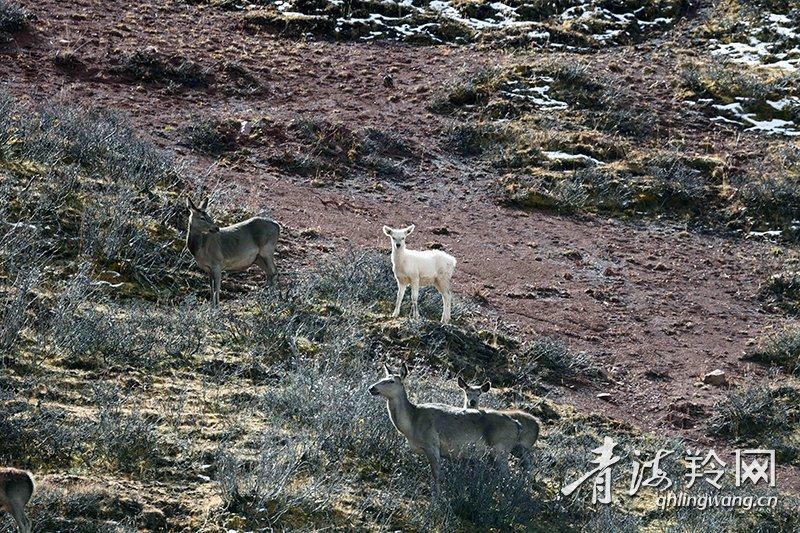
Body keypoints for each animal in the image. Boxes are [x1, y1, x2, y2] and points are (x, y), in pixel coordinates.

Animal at [370, 362, 524, 482]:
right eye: (383, 377)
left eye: (391, 381)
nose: (372, 388)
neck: (411, 425)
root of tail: (517, 424)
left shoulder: (432, 444)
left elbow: (437, 476)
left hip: (501, 449)